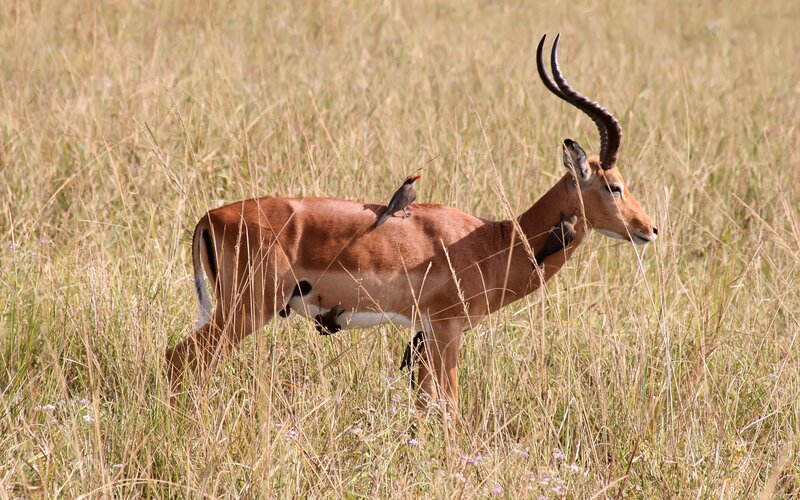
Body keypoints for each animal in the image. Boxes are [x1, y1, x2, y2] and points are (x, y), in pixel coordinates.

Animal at [165, 34, 657, 421]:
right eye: (613, 185)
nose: (649, 229)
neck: (492, 241)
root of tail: (210, 218)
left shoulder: (424, 335)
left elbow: (425, 405)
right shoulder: (447, 330)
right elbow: (449, 408)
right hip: (246, 310)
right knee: (179, 359)